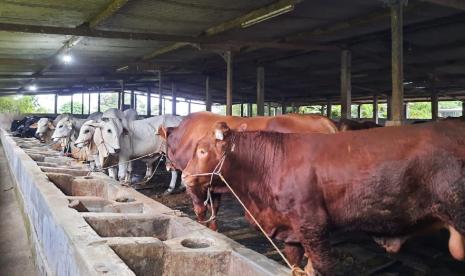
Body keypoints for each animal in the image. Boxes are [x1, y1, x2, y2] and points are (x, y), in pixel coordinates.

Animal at [157, 111, 338, 230]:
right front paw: (214, 229)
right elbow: (214, 208)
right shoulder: (213, 181)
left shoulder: (195, 181)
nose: (168, 166)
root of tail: (324, 121)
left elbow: (200, 209)